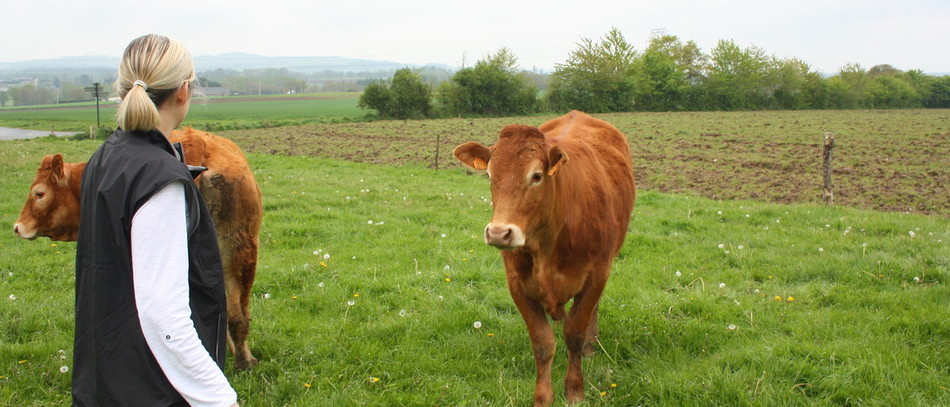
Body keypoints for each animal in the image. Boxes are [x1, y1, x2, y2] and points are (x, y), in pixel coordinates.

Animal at [456, 111, 636, 407]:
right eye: (489, 175)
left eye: (537, 176)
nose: (499, 232)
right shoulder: (517, 284)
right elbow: (543, 343)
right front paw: (542, 397)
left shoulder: (596, 275)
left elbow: (574, 333)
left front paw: (575, 390)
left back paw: (591, 346)